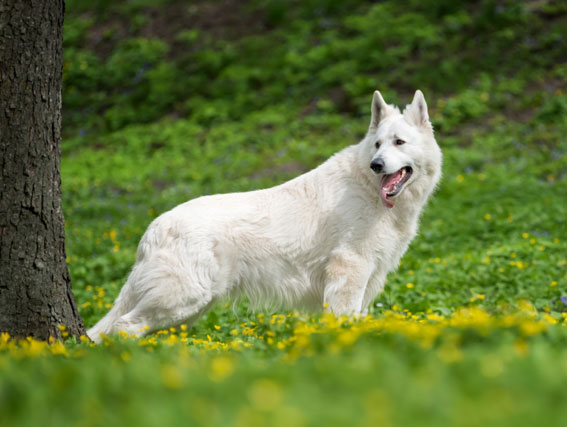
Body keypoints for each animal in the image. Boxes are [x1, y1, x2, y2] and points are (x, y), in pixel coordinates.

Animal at [89, 91, 444, 344]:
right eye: (377, 145)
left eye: (399, 142)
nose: (376, 164)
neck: (368, 188)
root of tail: (153, 229)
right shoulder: (349, 271)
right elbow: (343, 321)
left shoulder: (368, 279)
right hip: (183, 299)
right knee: (124, 326)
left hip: (188, 308)